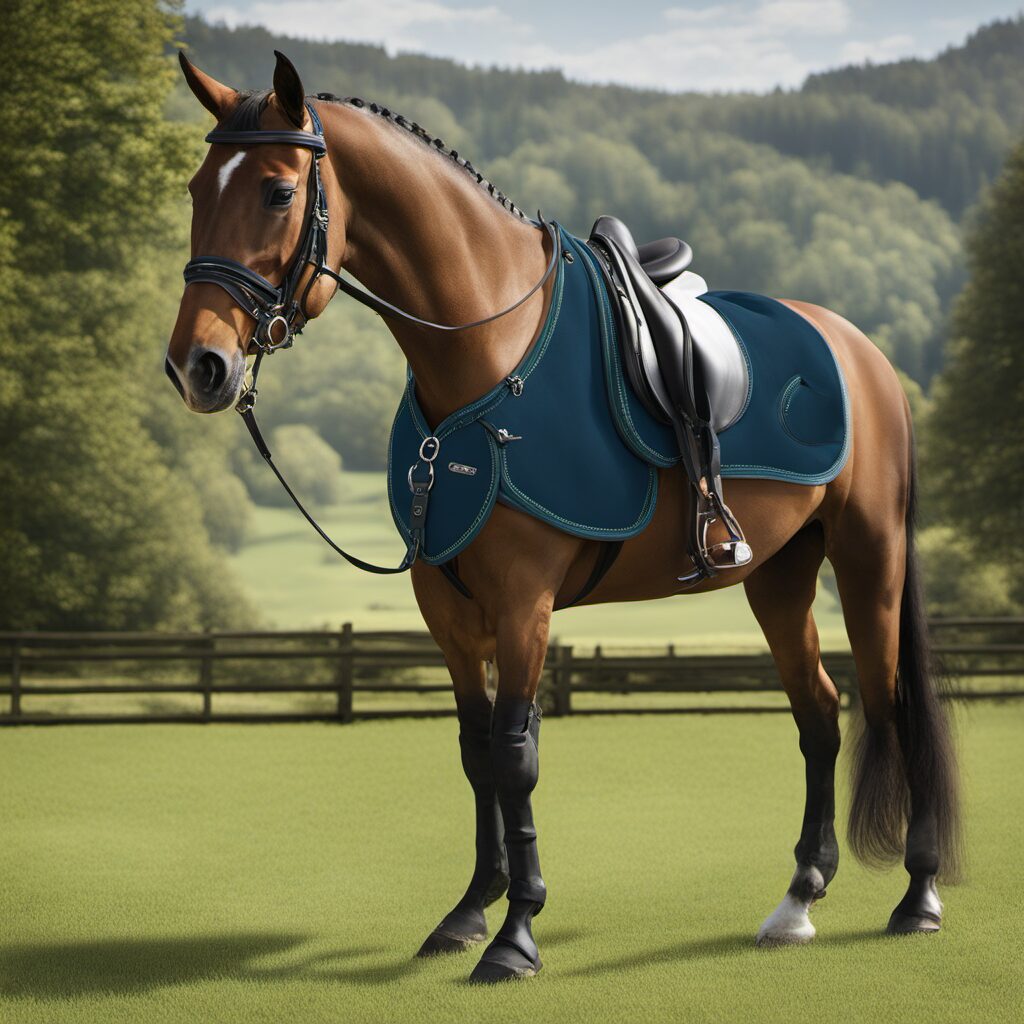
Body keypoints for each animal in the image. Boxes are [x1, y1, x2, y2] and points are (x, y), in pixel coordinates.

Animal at [165, 51, 962, 984]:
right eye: (195, 188)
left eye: (278, 192)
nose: (198, 366)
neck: (485, 355)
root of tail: (860, 350)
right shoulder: (448, 607)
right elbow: (476, 751)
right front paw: (469, 911)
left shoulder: (524, 603)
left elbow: (516, 756)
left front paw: (515, 934)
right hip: (778, 574)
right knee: (819, 713)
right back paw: (799, 896)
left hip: (870, 556)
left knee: (892, 702)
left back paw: (919, 898)